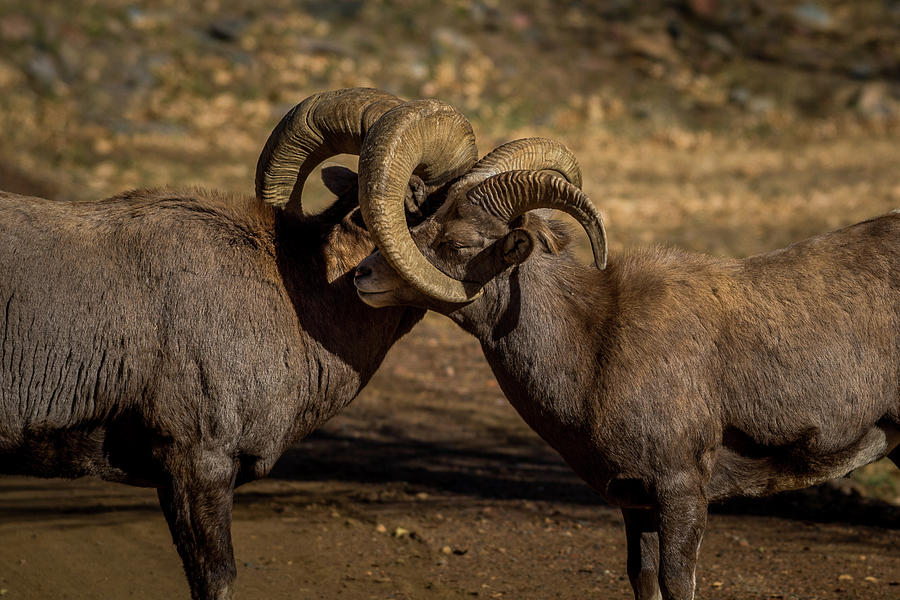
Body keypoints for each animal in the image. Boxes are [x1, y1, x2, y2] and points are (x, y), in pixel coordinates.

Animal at [352, 101, 900, 596]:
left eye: (460, 243)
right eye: (424, 217)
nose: (363, 276)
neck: (594, 345)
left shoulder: (681, 494)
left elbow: (677, 584)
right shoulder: (636, 505)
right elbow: (644, 580)